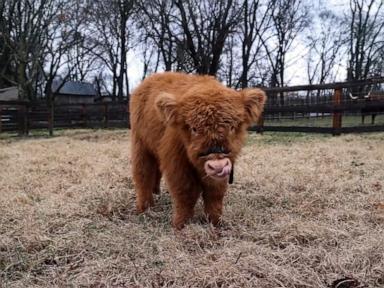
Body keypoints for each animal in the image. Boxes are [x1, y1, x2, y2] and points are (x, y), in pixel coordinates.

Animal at [130, 72, 266, 230]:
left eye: (232, 127)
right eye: (194, 129)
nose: (217, 165)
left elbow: (215, 194)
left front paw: (215, 222)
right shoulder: (176, 162)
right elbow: (185, 192)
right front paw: (181, 224)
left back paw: (156, 191)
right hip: (140, 144)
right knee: (143, 174)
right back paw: (145, 207)